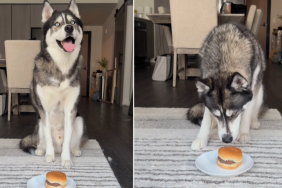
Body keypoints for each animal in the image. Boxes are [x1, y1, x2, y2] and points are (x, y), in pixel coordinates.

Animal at [19, 0, 87, 167]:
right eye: (57, 23)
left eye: (73, 22)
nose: (68, 28)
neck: (61, 66)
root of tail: (58, 147)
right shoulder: (45, 109)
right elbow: (48, 137)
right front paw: (49, 156)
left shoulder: (70, 109)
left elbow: (68, 139)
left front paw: (66, 159)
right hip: (40, 123)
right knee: (41, 141)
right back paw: (41, 150)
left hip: (79, 120)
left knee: (74, 142)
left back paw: (74, 150)